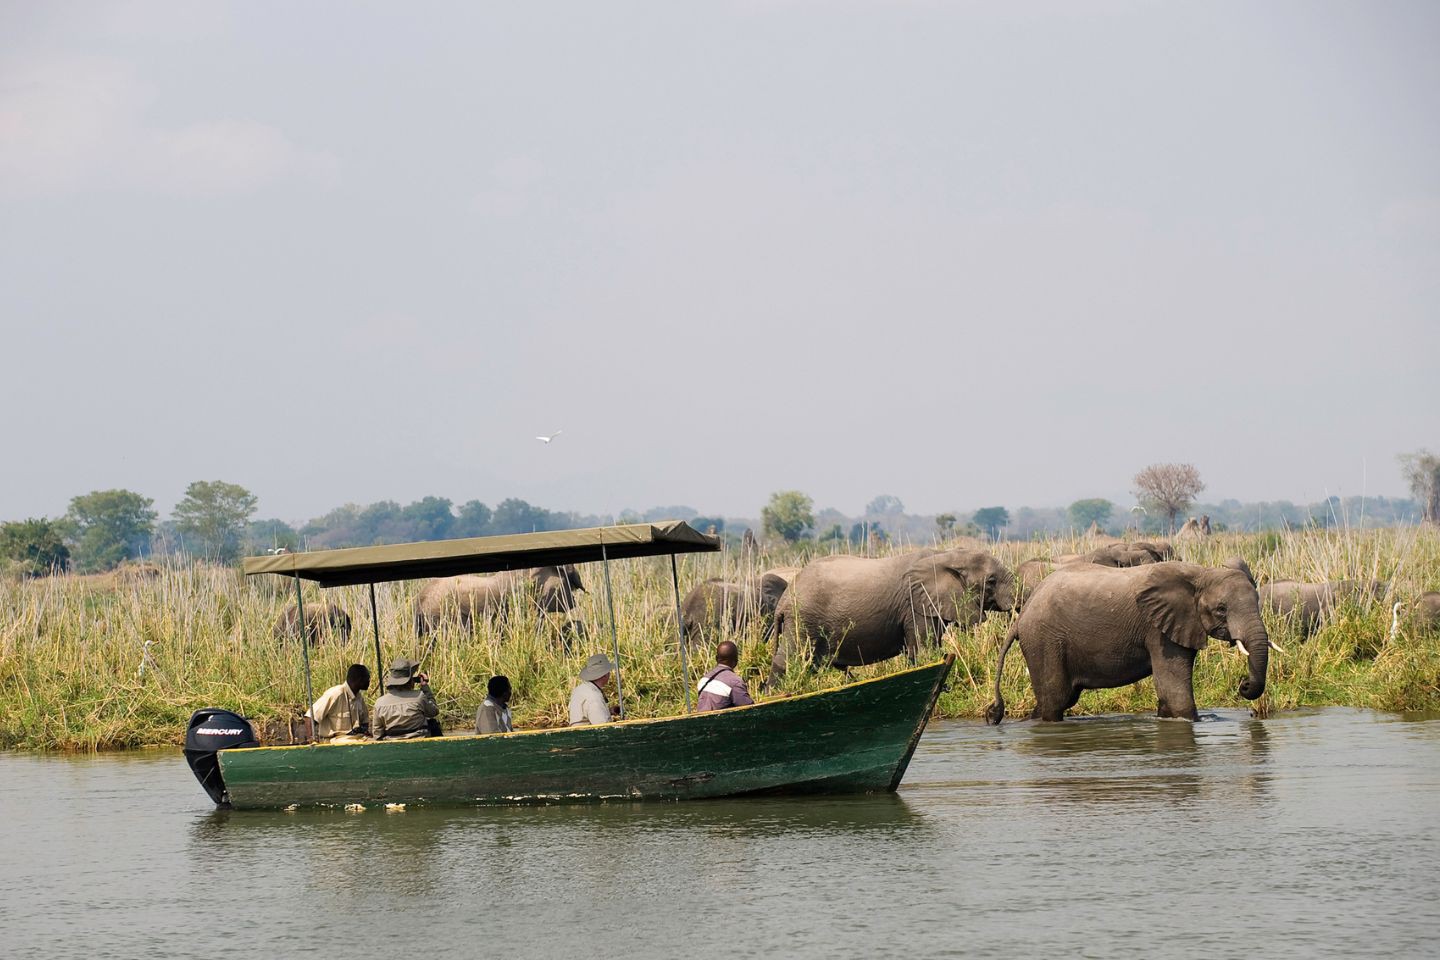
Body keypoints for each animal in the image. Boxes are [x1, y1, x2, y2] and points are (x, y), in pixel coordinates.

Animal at [777, 552, 1013, 679]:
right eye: (991, 581)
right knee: (787, 661)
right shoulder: (915, 606)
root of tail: (784, 598)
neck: (948, 554)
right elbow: (924, 651)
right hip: (802, 621)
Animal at [984, 558, 1267, 725]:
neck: (1201, 572)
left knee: (1059, 699)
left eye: (1258, 600)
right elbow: (1175, 691)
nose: (1243, 684)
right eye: (1221, 609)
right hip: (1044, 641)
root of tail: (1022, 616)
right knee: (1054, 700)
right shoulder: (1157, 629)